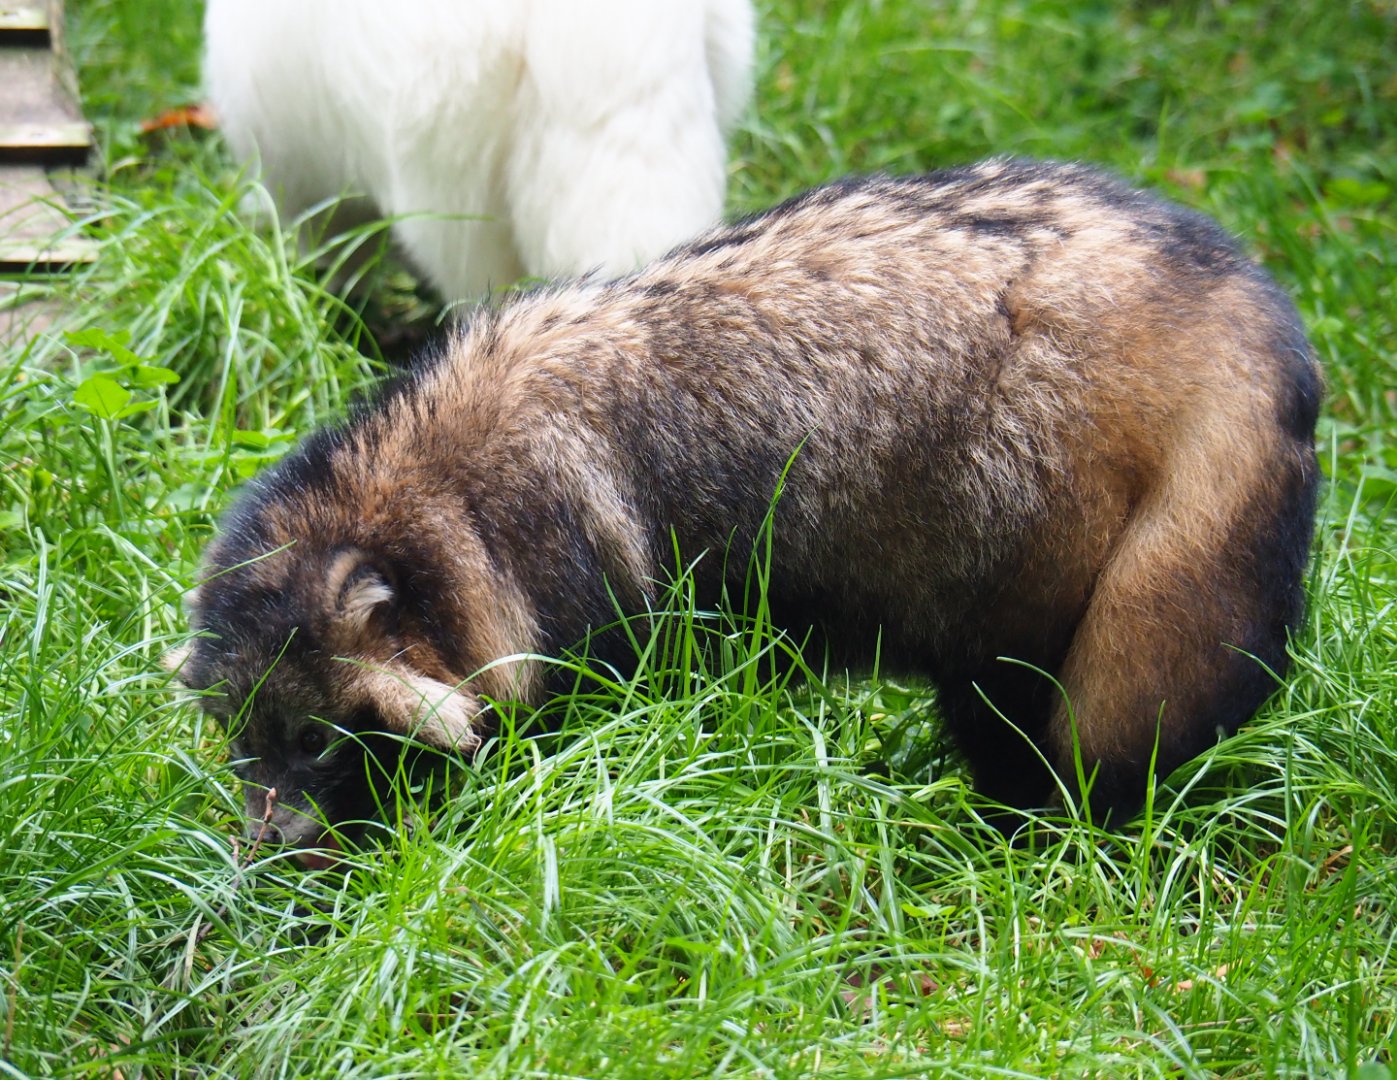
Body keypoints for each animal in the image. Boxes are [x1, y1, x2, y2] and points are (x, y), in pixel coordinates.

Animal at [170, 158, 1321, 855]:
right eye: (244, 740)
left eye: (315, 740)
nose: (260, 851)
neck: (452, 507)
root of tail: (1234, 296)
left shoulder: (604, 630)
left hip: (1022, 616)